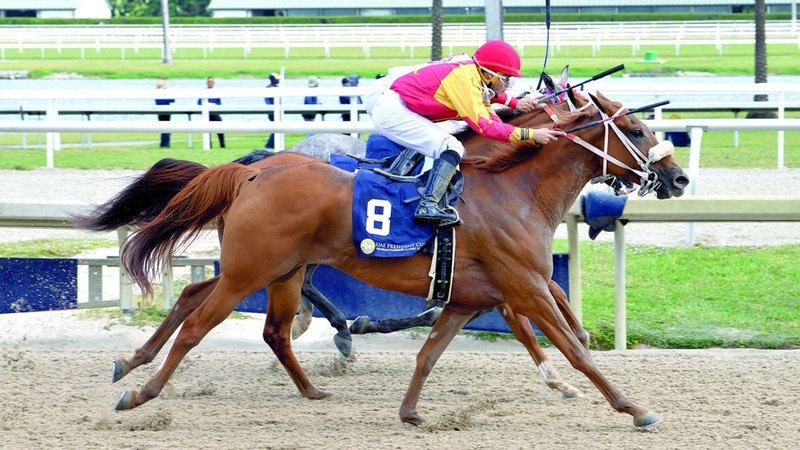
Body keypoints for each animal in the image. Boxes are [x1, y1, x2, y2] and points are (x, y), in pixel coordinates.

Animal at [106, 92, 692, 428]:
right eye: (637, 130)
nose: (678, 177)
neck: (515, 190)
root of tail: (252, 171)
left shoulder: (471, 296)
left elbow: (430, 353)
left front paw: (411, 413)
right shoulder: (523, 286)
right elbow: (575, 349)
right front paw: (633, 408)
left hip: (276, 270)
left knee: (248, 319)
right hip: (250, 270)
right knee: (199, 325)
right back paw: (142, 391)